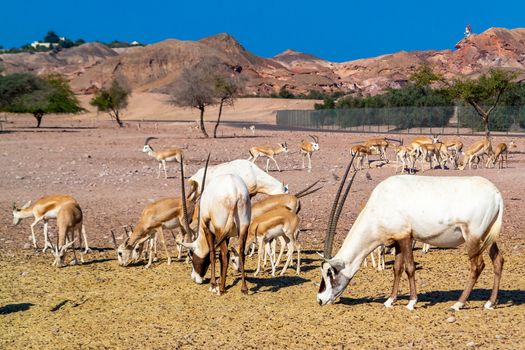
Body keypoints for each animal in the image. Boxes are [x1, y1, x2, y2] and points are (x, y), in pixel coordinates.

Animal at [316, 154, 504, 310]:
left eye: (330, 273)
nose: (320, 299)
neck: (380, 204)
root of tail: (496, 194)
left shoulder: (406, 236)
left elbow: (410, 268)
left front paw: (412, 302)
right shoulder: (398, 239)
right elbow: (397, 268)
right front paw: (390, 300)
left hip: (472, 237)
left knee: (477, 266)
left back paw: (458, 304)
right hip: (487, 236)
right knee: (498, 261)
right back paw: (490, 303)